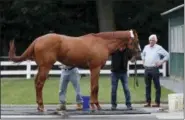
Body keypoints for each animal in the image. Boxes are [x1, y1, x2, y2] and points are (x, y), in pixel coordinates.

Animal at [8, 29, 140, 112]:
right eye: (136, 41)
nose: (138, 54)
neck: (102, 42)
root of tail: (37, 40)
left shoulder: (94, 69)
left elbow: (94, 87)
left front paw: (95, 105)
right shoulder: (95, 68)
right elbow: (95, 87)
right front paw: (94, 105)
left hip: (41, 67)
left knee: (36, 83)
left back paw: (39, 105)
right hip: (45, 67)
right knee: (40, 84)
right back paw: (41, 106)